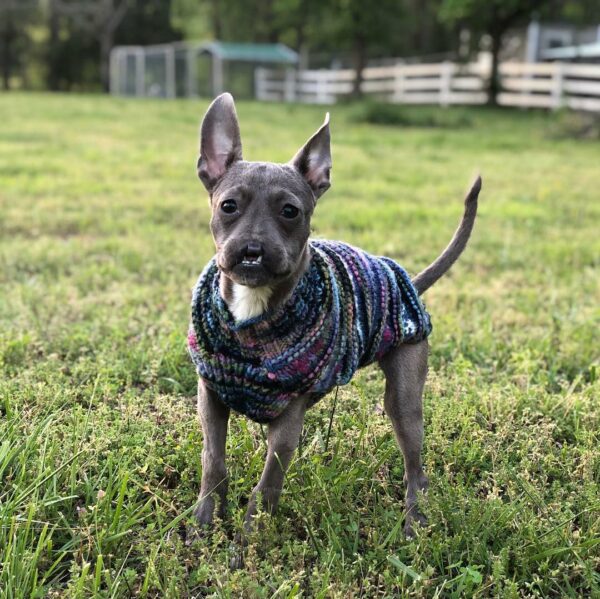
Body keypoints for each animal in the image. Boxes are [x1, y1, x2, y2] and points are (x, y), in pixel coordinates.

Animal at [185, 92, 480, 556]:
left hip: (404, 400)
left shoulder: (287, 426)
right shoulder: (211, 397)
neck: (256, 314)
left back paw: (415, 523)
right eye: (228, 206)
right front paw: (202, 526)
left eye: (291, 212)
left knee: (416, 468)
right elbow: (213, 464)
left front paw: (247, 544)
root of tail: (404, 281)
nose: (252, 250)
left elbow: (267, 486)